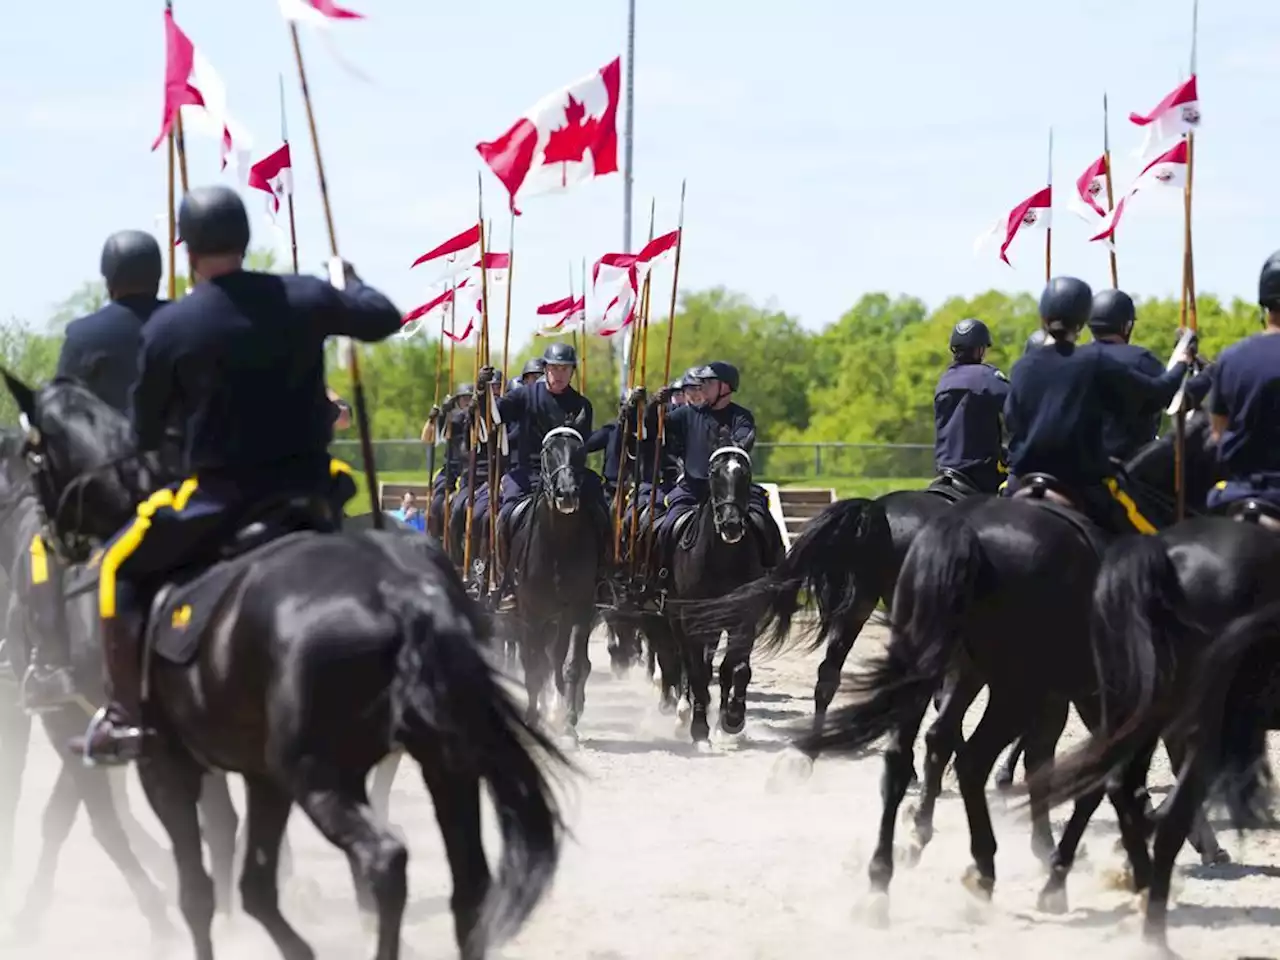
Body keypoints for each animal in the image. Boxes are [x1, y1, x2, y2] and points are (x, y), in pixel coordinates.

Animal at [3, 373, 565, 960]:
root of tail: (406, 598)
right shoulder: (246, 768)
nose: (52, 540)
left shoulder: (144, 753)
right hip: (439, 763)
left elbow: (169, 865)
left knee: (383, 856)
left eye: (31, 455)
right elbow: (236, 864)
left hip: (316, 771)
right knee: (467, 883)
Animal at [496, 427, 601, 737]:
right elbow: (534, 668)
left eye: (579, 451)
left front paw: (568, 723)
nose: (566, 494)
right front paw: (533, 717)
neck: (559, 543)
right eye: (548, 452)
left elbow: (571, 665)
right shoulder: (531, 614)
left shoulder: (577, 610)